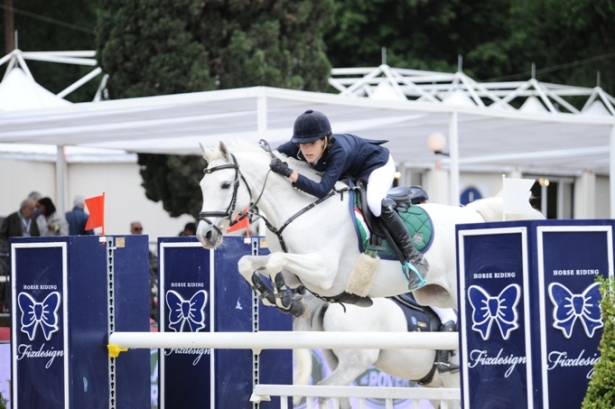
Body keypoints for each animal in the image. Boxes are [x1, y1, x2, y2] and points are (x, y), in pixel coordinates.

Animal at [197, 139, 544, 314]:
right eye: (202, 185)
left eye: (226, 184)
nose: (205, 235)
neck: (300, 207)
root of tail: (473, 217)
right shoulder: (299, 270)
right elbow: (250, 261)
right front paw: (270, 292)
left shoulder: (324, 273)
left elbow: (276, 261)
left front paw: (284, 297)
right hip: (438, 296)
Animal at [294, 292, 462, 406]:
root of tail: (330, 303)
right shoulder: (453, 383)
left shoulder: (433, 387)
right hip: (357, 361)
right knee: (324, 391)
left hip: (336, 361)